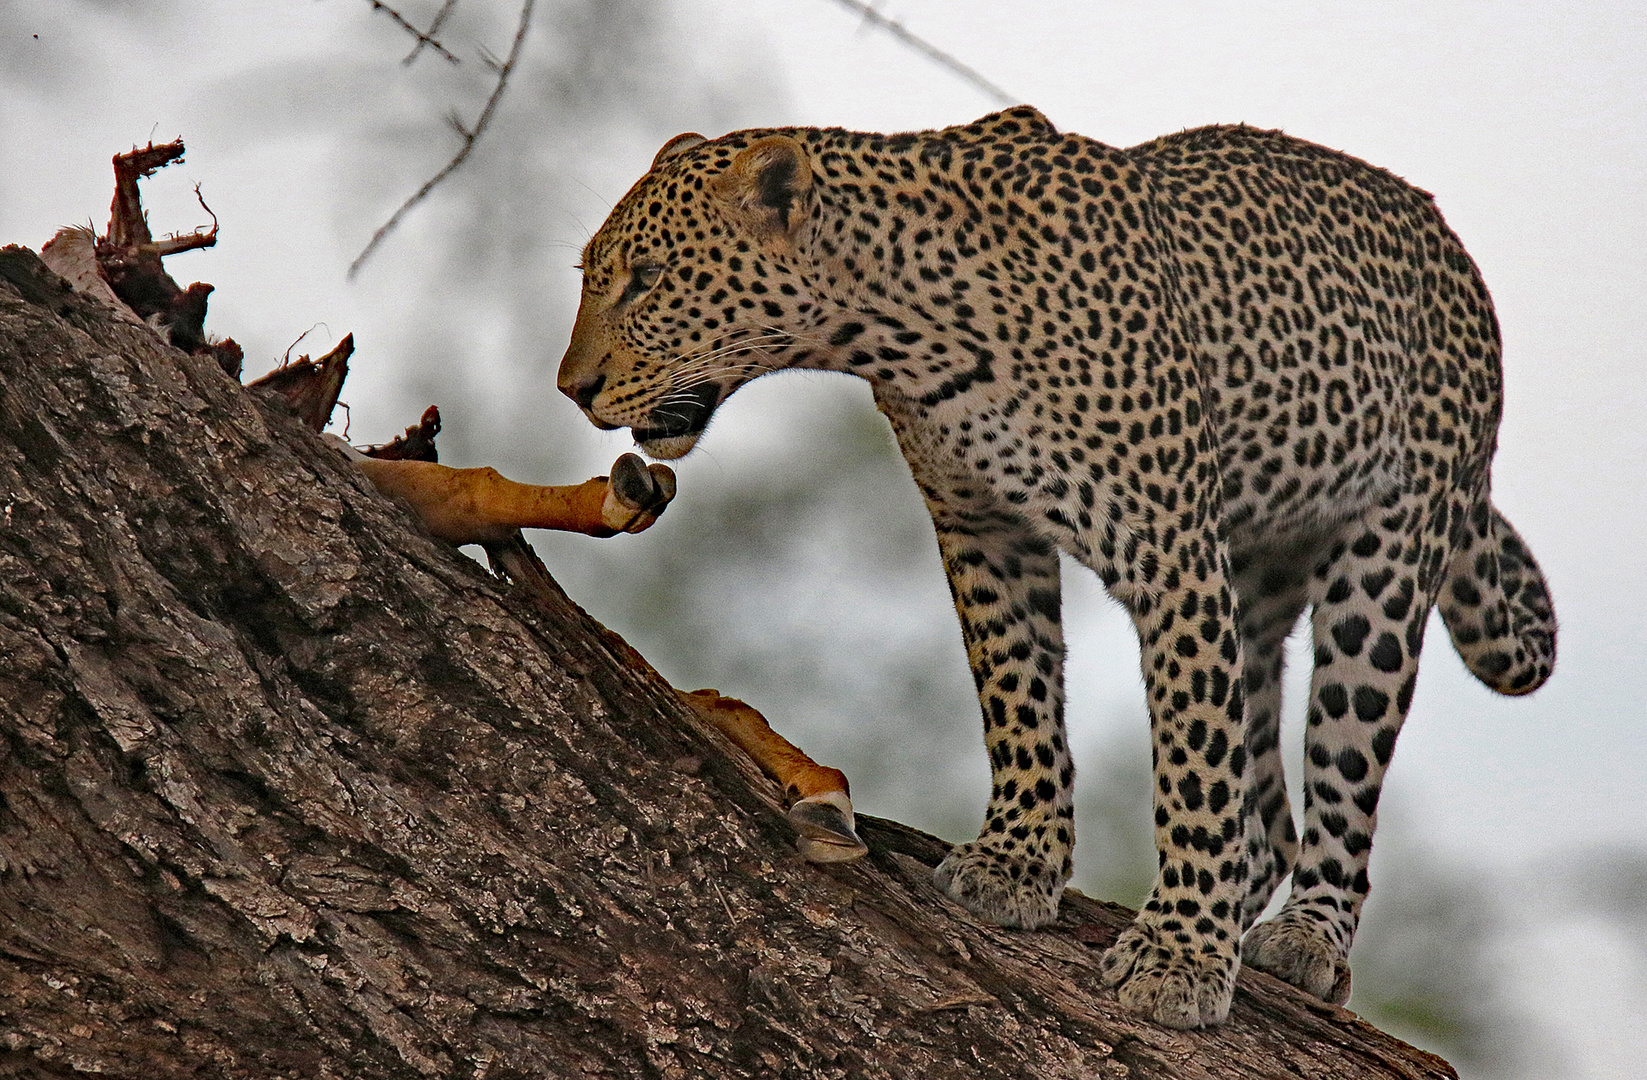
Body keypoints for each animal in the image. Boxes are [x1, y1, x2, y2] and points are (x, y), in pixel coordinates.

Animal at [553, 109, 1554, 1027]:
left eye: (647, 279)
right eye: (593, 275)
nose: (573, 388)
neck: (896, 324)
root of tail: (1447, 245)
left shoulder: (1170, 550)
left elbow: (1193, 760)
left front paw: (1183, 957)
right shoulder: (979, 527)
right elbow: (1018, 698)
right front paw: (1017, 859)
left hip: (1385, 562)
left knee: (1340, 769)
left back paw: (1306, 934)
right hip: (1256, 573)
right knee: (1264, 800)